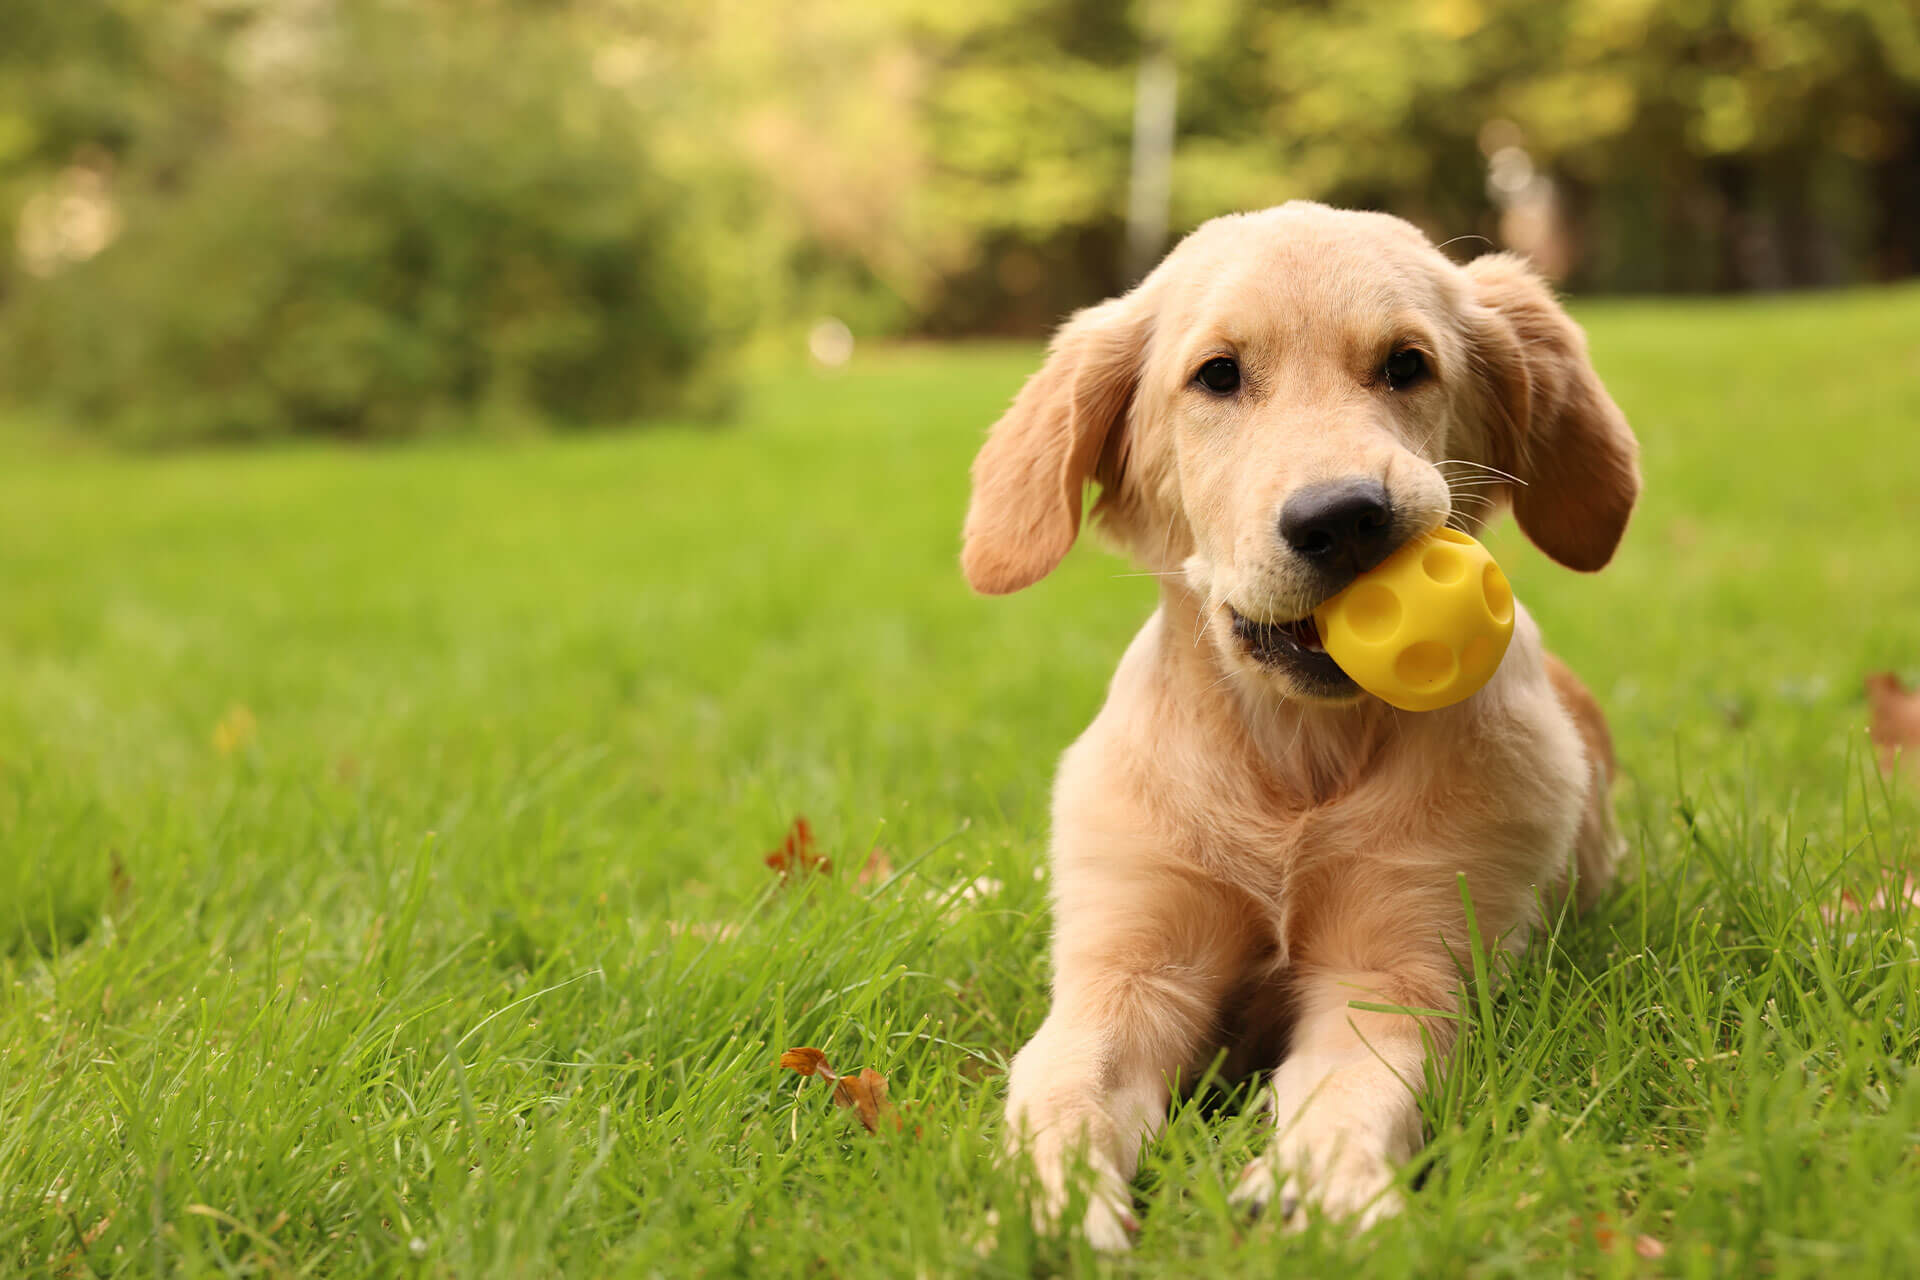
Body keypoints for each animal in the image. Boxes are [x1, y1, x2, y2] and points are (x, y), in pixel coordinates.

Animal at [960, 202, 1635, 1251]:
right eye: (1218, 375)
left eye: (1406, 364)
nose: (1346, 518)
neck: (1294, 760)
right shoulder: (1129, 967)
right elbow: (1058, 1083)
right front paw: (1047, 1210)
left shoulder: (1401, 962)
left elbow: (1356, 1084)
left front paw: (1317, 1185)